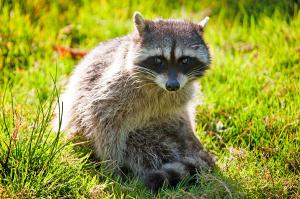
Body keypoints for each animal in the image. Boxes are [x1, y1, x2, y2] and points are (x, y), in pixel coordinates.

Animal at [52, 11, 214, 192]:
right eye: (159, 60)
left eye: (185, 60)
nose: (172, 85)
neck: (158, 87)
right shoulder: (114, 87)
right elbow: (102, 121)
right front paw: (112, 167)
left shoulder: (182, 93)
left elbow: (182, 115)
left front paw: (193, 139)